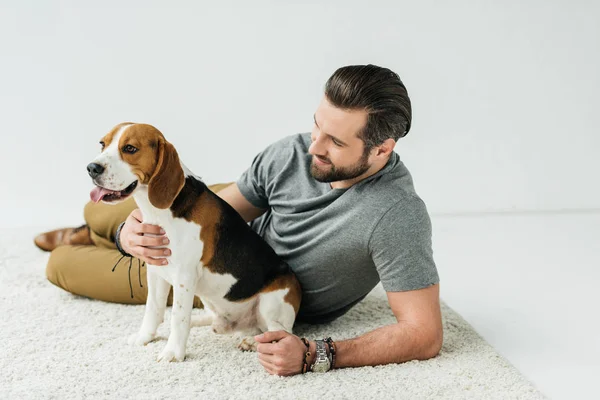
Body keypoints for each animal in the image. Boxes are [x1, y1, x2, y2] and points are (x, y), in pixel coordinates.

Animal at [86, 122, 302, 362]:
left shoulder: (184, 275)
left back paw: (251, 342)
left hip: (272, 303)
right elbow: (153, 308)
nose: (92, 168)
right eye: (102, 144)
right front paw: (145, 337)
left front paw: (173, 353)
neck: (160, 211)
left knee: (281, 332)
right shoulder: (156, 268)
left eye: (130, 148)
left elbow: (178, 317)